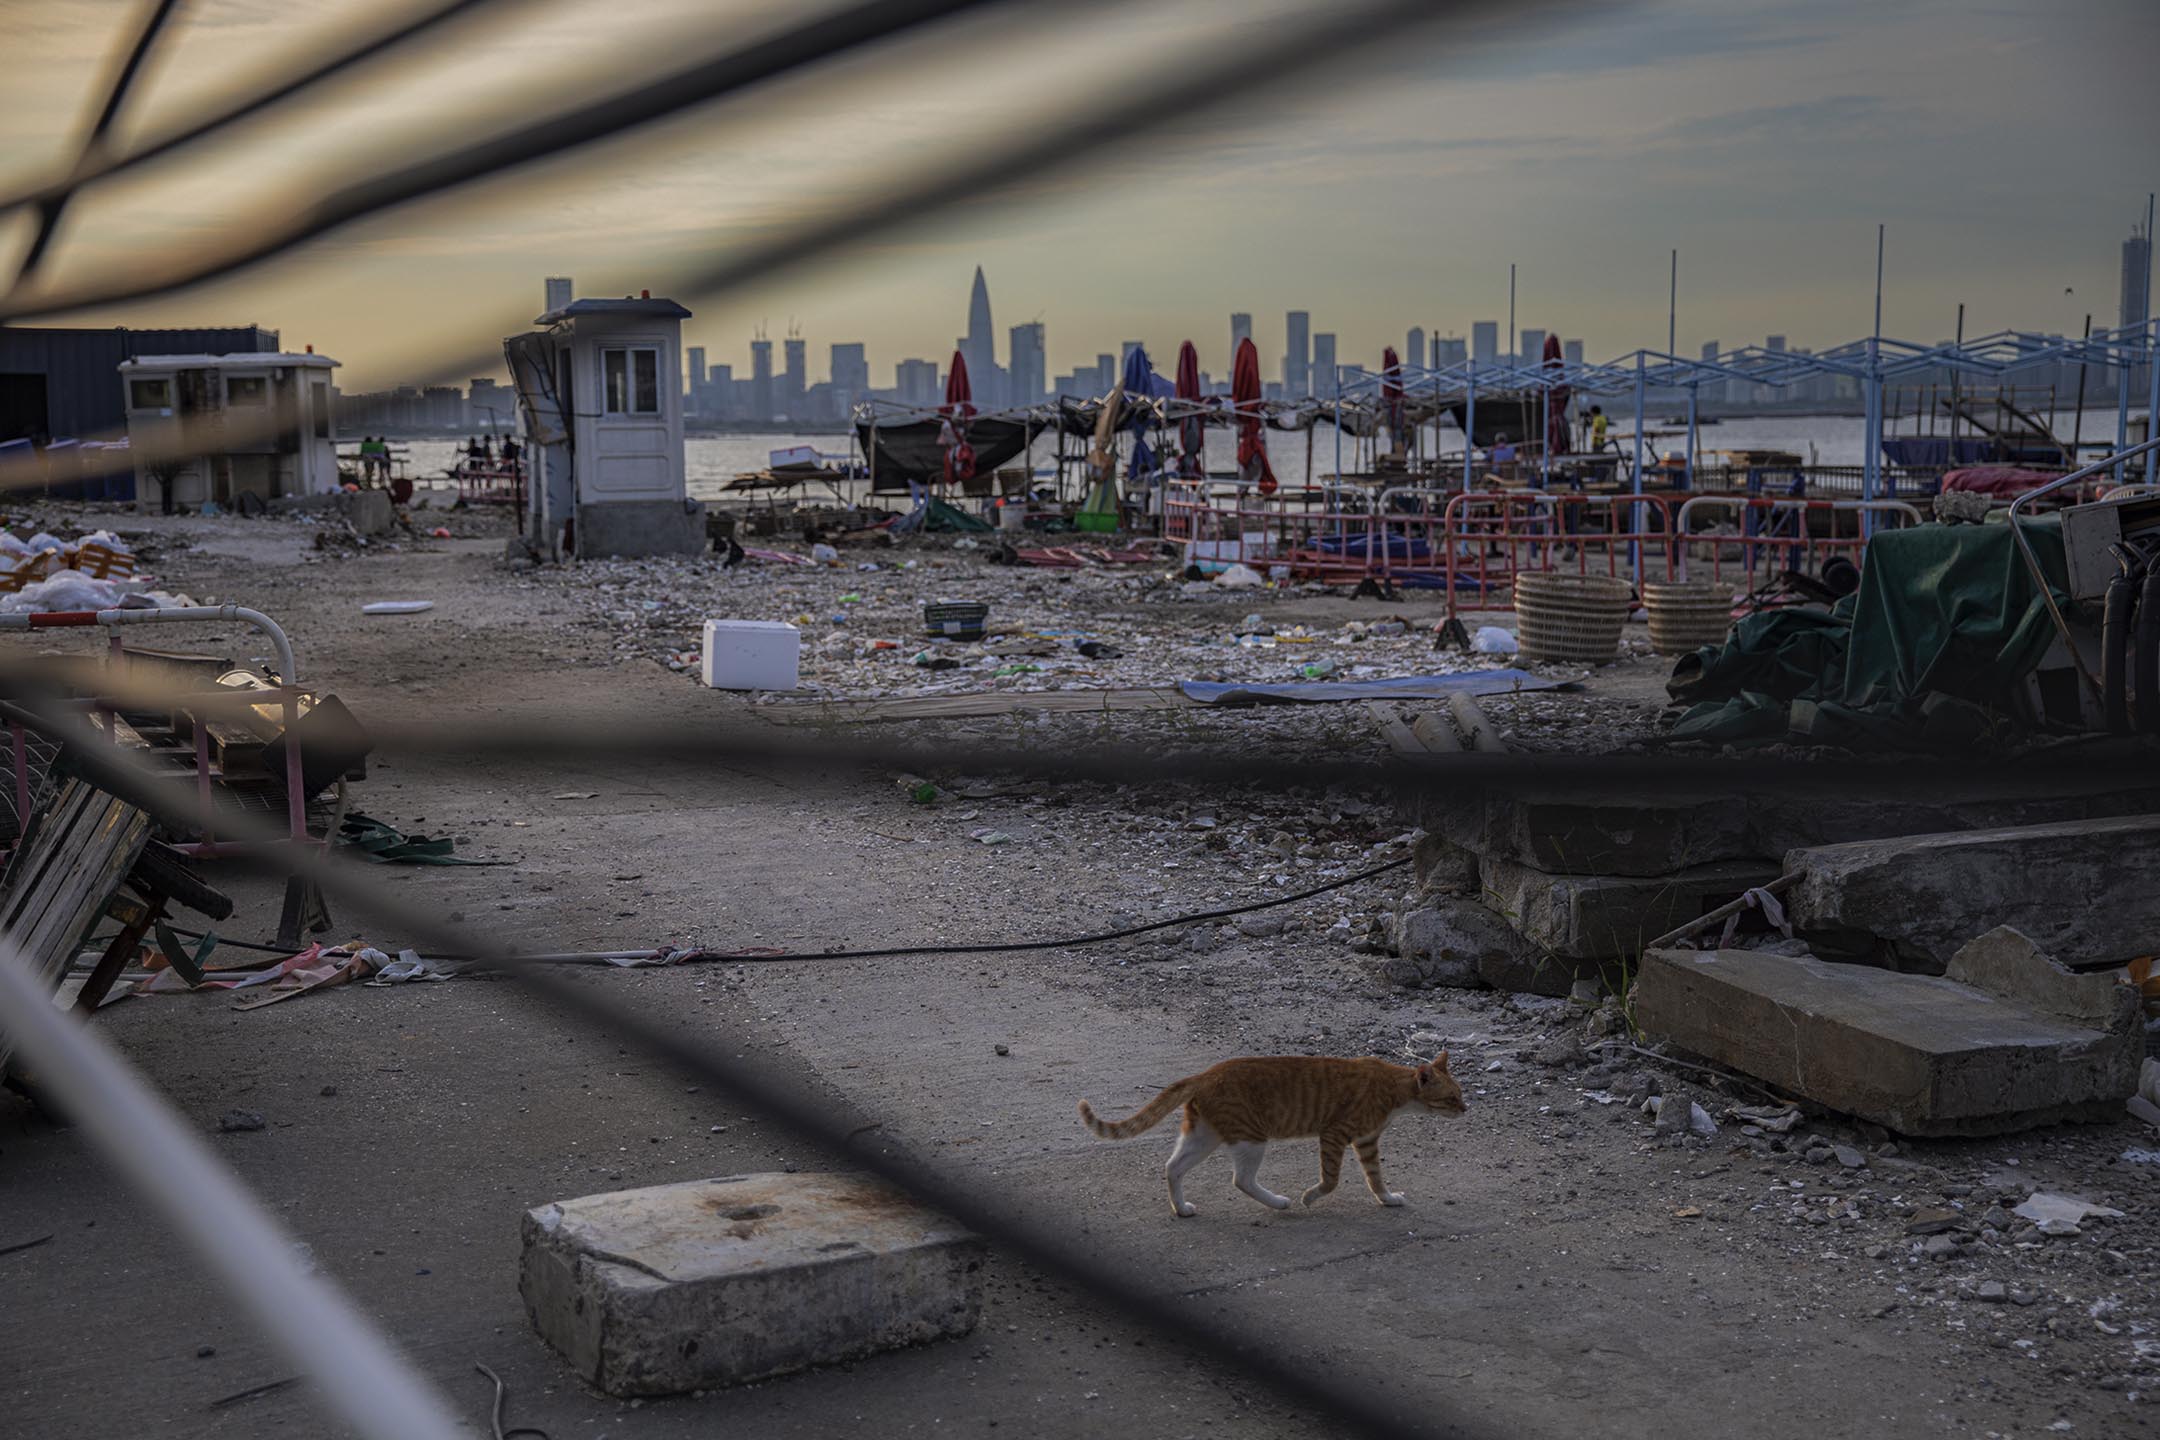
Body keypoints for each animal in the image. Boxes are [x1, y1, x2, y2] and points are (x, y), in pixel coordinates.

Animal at [1080, 1053, 1468, 1226]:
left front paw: (1387, 1199)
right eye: (1451, 1098)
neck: (1392, 1088)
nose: (1466, 1109)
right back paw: (1280, 1202)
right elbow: (1331, 1179)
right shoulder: (1335, 1133)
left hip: (1205, 1135)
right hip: (1251, 1138)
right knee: (1241, 1179)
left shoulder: (1367, 1142)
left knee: (1172, 1167)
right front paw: (1310, 1197)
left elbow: (1375, 1178)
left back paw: (1181, 1208)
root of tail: (1206, 1073)